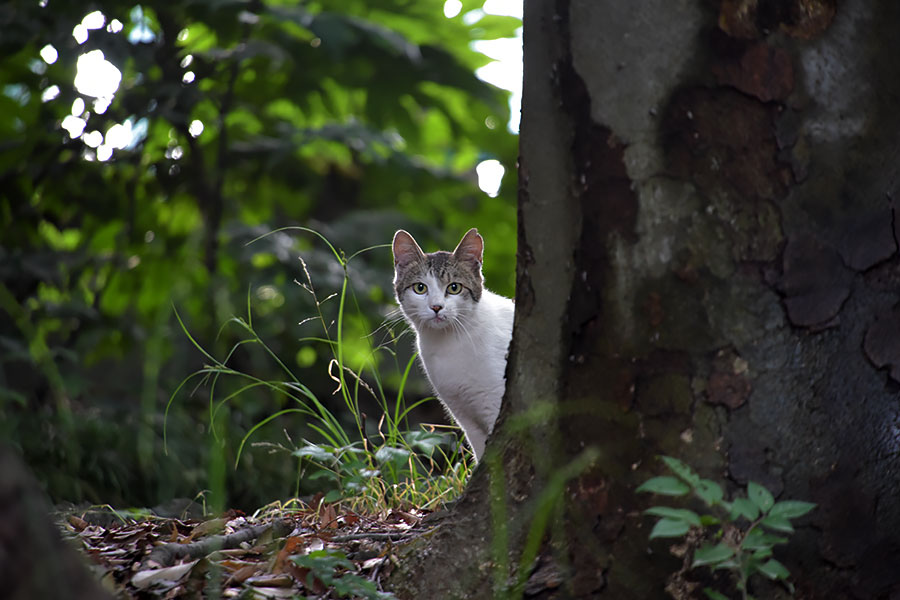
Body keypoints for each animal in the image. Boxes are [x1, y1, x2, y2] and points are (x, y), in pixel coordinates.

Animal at [392, 227, 512, 462]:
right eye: (420, 288)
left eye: (454, 288)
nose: (436, 307)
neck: (450, 343)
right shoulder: (465, 418)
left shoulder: (496, 404)